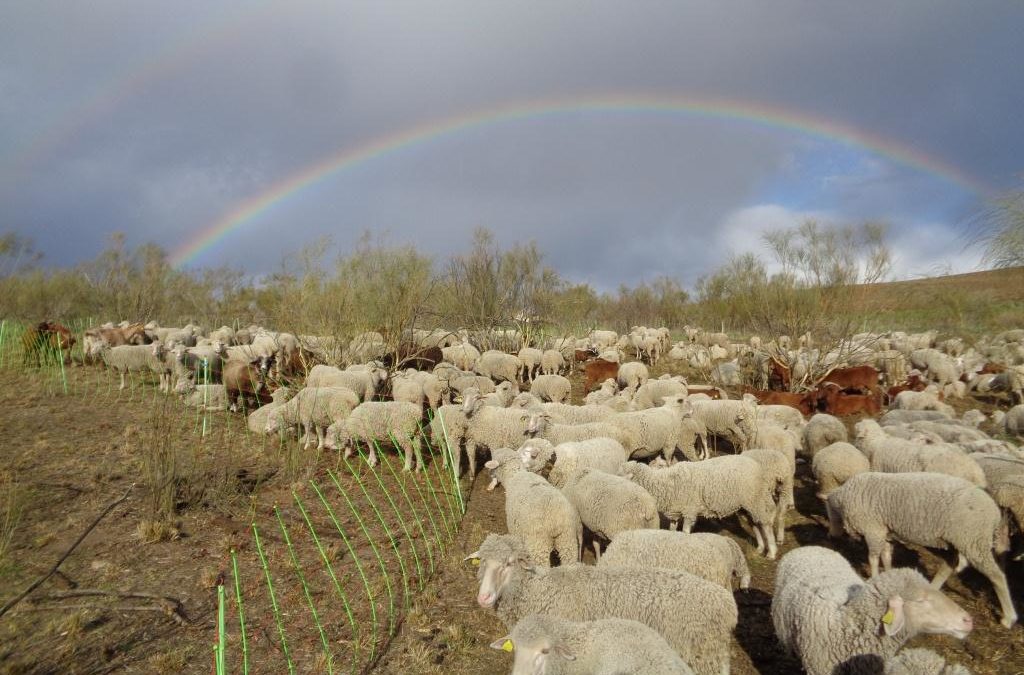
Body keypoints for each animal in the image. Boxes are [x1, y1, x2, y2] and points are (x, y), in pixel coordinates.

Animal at [618, 458, 778, 561]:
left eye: (620, 475)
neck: (666, 483)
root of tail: (756, 464)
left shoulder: (690, 510)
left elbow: (685, 532)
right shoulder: (675, 512)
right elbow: (672, 530)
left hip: (755, 499)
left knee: (765, 524)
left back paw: (771, 552)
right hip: (745, 505)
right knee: (755, 523)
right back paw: (760, 548)